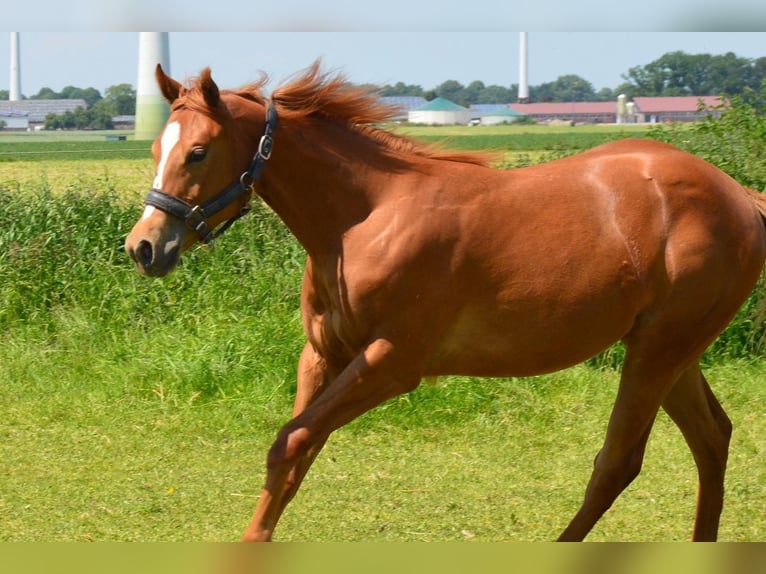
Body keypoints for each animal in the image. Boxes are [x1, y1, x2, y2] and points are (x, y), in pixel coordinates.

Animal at [124, 63, 766, 544]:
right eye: (155, 146)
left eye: (198, 152)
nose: (144, 246)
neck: (366, 218)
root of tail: (740, 195)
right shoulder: (324, 356)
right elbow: (288, 453)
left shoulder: (392, 363)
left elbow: (296, 441)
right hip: (668, 352)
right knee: (713, 439)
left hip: (659, 351)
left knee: (618, 462)